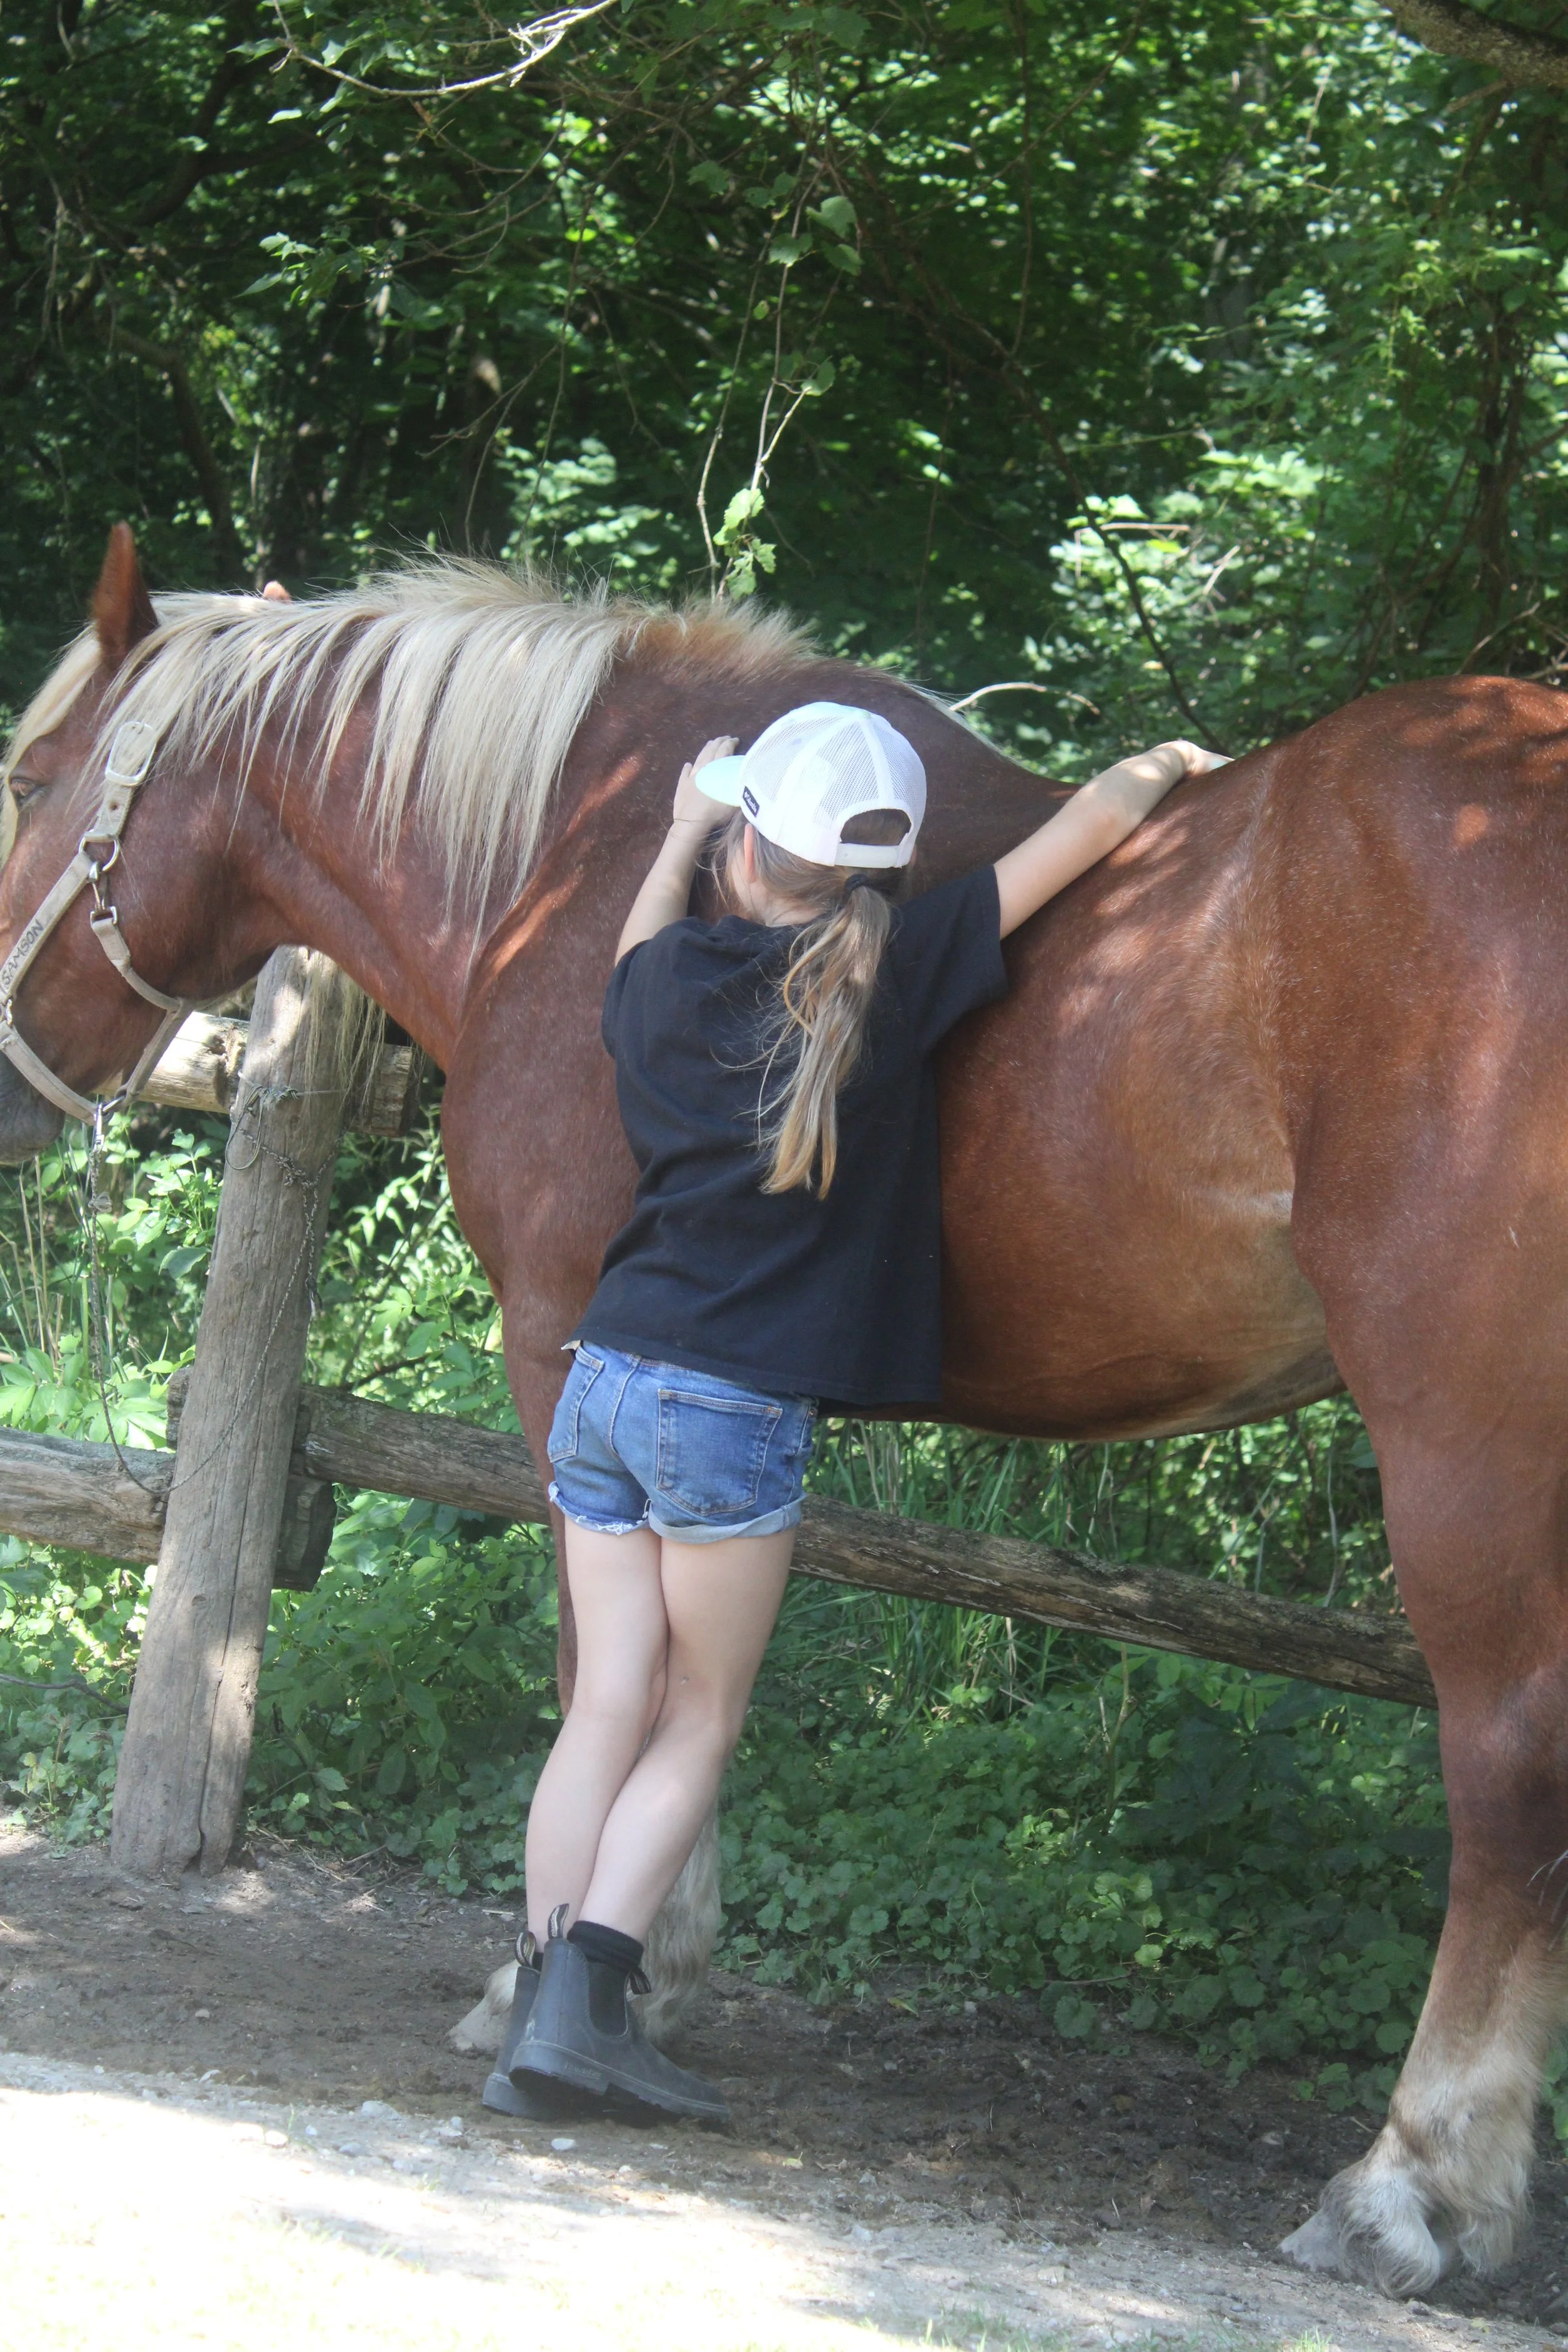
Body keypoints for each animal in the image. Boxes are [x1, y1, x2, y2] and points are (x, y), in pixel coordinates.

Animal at [5, 522, 1568, 2299]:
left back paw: (1411, 2181)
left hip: (1463, 1445)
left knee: (1505, 1767)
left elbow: (605, 1671)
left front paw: (579, 1973)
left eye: (31, 777)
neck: (572, 850)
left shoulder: (569, 1353)